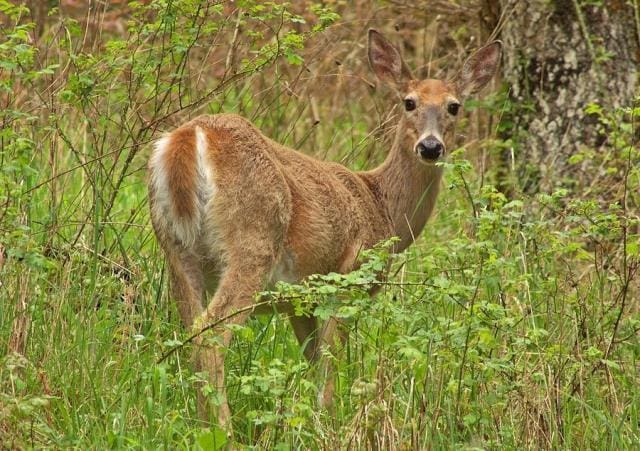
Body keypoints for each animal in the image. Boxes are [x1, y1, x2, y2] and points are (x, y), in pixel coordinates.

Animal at [148, 28, 502, 430]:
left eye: (454, 106)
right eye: (408, 102)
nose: (430, 146)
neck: (380, 205)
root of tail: (189, 137)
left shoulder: (298, 301)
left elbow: (312, 361)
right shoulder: (347, 278)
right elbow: (329, 366)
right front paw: (328, 424)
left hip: (176, 251)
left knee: (190, 336)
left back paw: (202, 426)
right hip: (253, 240)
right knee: (210, 337)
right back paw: (226, 431)